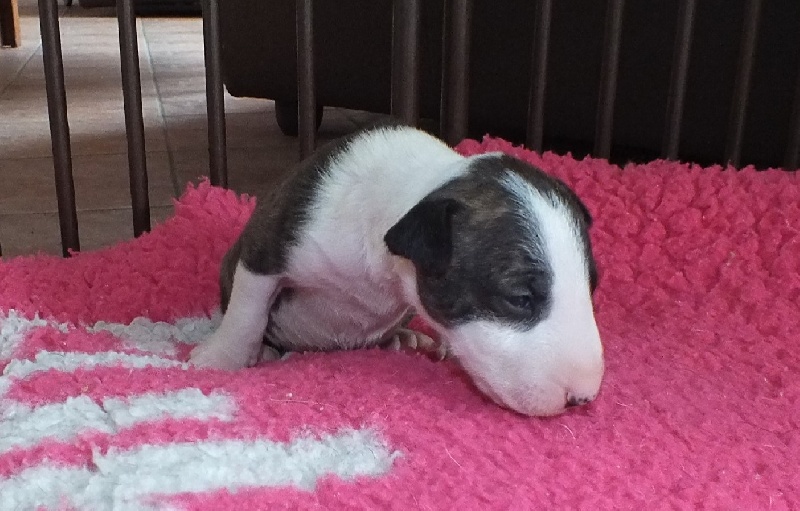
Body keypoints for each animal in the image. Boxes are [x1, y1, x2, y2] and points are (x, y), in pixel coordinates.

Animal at [190, 122, 603, 416]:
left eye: (591, 287)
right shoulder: (269, 245)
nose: (582, 398)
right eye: (519, 298)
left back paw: (403, 338)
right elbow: (247, 309)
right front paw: (219, 359)